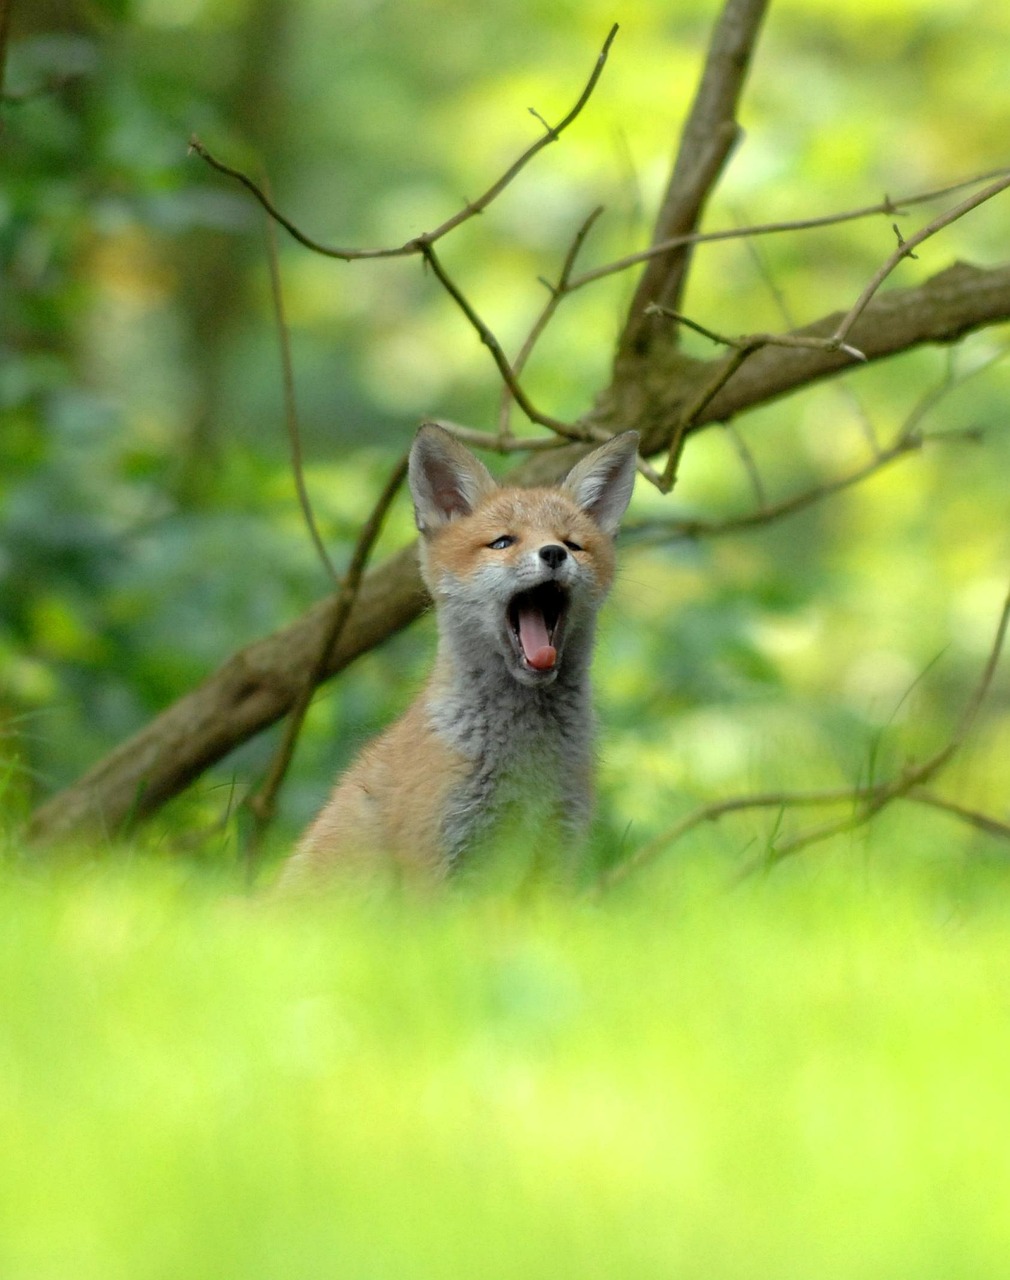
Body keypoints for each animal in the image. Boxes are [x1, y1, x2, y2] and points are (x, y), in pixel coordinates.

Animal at [280, 424, 634, 885]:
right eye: (502, 542)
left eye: (573, 545)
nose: (553, 554)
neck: (526, 758)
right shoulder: (435, 859)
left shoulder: (556, 856)